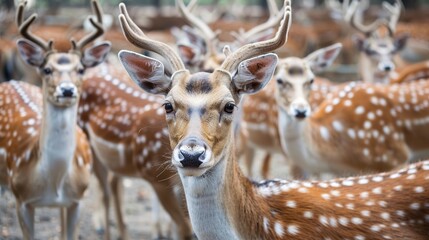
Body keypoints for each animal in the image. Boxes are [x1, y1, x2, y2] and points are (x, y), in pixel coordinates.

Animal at [0, 0, 112, 239]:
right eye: (46, 69)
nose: (67, 90)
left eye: (81, 69)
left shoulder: (77, 200)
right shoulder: (21, 199)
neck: (53, 180)